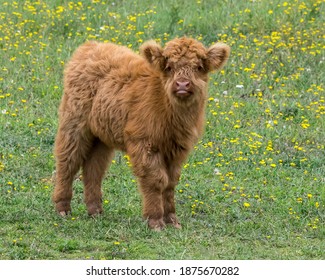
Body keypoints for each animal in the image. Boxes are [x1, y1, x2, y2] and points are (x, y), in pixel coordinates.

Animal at [53, 36, 229, 230]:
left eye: (198, 67)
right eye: (169, 67)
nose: (182, 84)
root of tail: (91, 45)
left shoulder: (178, 149)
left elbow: (170, 182)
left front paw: (172, 220)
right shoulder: (144, 143)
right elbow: (156, 180)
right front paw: (155, 221)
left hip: (101, 136)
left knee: (94, 169)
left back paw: (95, 211)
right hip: (74, 125)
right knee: (67, 161)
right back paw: (62, 208)